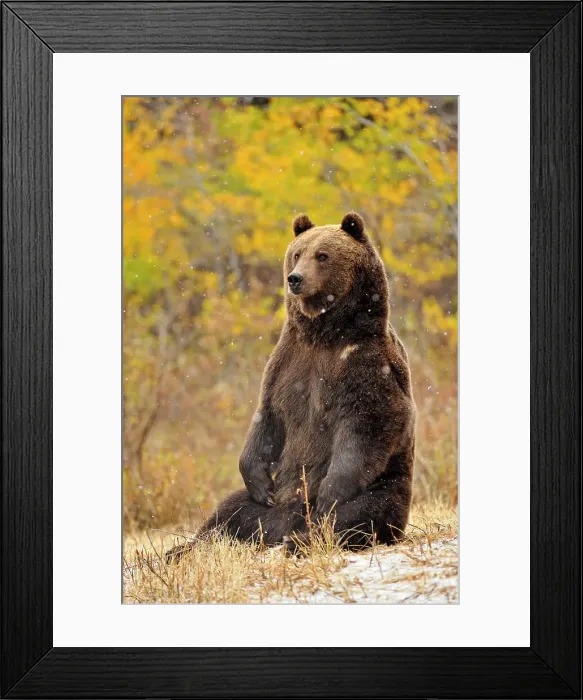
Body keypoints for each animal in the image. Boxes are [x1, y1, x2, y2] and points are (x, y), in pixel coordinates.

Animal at [167, 211, 415, 560]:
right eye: (297, 253)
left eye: (322, 255)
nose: (294, 278)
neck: (324, 333)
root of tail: (283, 523)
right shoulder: (288, 361)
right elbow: (269, 416)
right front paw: (258, 480)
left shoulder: (366, 362)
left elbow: (371, 421)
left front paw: (329, 493)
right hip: (267, 504)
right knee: (229, 512)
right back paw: (183, 548)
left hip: (387, 488)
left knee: (357, 515)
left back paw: (301, 540)